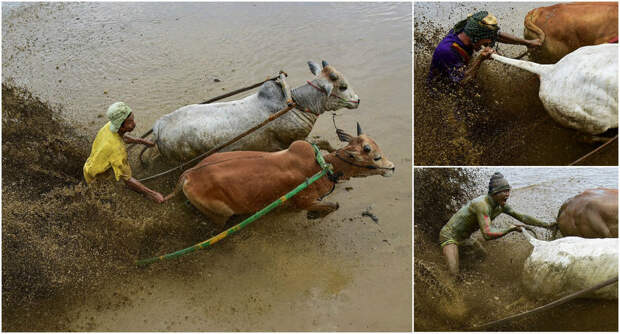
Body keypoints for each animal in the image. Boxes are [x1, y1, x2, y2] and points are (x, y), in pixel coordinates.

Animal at [151, 61, 360, 164]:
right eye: (342, 86)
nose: (357, 100)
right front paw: (337, 153)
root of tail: (159, 126)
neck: (296, 103)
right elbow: (324, 143)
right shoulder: (294, 140)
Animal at [165, 123, 394, 224]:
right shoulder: (302, 201)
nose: (392, 167)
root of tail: (189, 175)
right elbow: (333, 205)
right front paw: (314, 215)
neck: (323, 167)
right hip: (220, 214)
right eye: (375, 157)